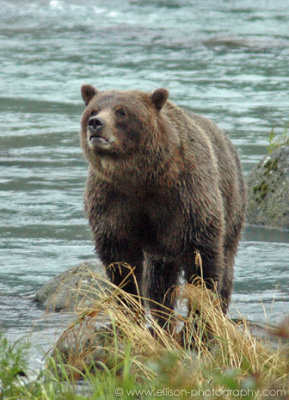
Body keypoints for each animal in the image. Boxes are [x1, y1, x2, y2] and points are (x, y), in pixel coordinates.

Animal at [79, 85, 245, 324]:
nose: (96, 123)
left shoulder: (186, 196)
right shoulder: (113, 200)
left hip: (232, 203)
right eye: (93, 110)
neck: (142, 178)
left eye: (122, 111)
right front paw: (129, 311)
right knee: (159, 278)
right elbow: (122, 261)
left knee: (226, 262)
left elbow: (202, 259)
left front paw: (200, 318)